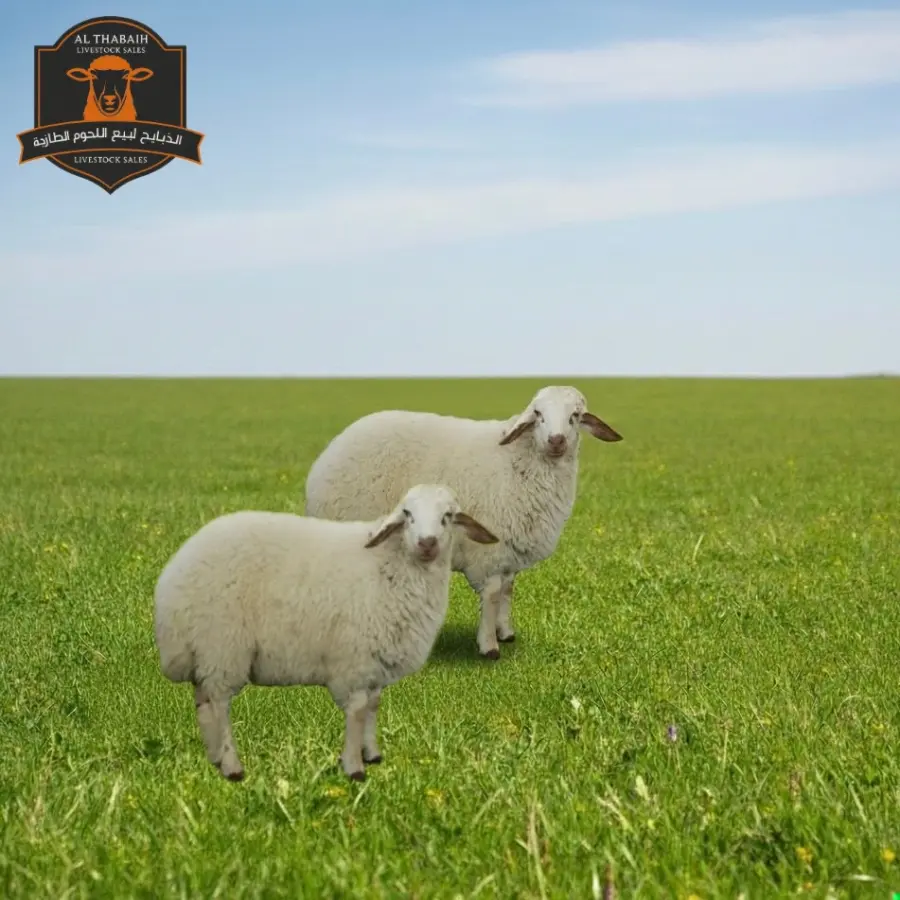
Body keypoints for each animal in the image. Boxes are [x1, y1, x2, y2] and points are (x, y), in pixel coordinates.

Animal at [153, 483, 498, 782]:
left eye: (448, 516)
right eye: (407, 514)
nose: (427, 543)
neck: (392, 565)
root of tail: (174, 576)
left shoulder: (376, 662)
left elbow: (373, 707)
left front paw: (372, 754)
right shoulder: (354, 661)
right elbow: (357, 712)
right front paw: (354, 768)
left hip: (205, 650)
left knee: (203, 702)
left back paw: (213, 757)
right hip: (222, 645)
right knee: (219, 704)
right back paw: (231, 766)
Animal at [303, 385, 623, 661]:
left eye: (575, 416)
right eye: (538, 414)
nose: (556, 440)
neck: (522, 461)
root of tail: (331, 450)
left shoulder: (509, 552)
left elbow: (507, 591)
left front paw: (506, 632)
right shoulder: (489, 552)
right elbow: (492, 596)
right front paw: (489, 646)